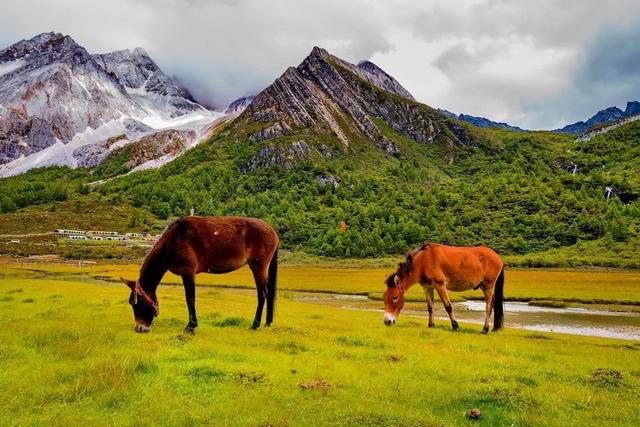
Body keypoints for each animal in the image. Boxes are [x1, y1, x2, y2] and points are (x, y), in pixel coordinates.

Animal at [121, 217, 278, 334]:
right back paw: (267, 322)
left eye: (136, 303)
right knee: (269, 294)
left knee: (262, 294)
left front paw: (191, 326)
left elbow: (190, 298)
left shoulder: (188, 272)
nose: (139, 328)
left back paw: (255, 325)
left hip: (258, 267)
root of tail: (272, 231)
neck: (172, 241)